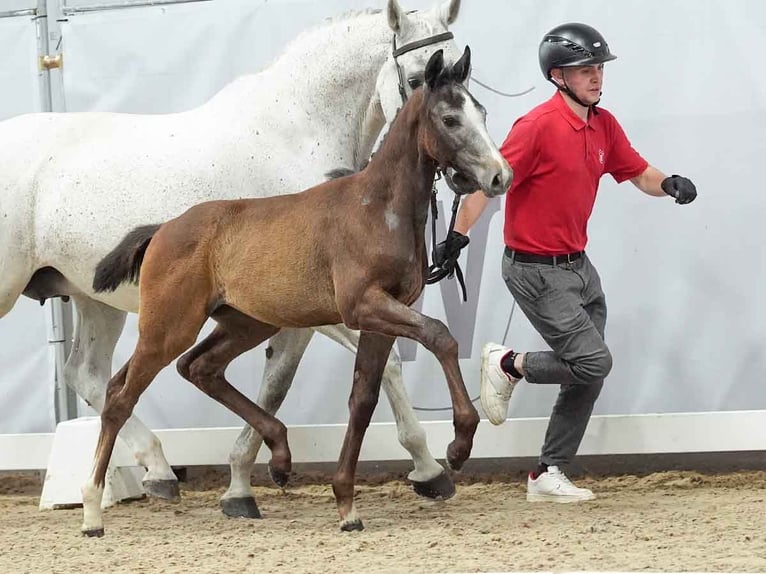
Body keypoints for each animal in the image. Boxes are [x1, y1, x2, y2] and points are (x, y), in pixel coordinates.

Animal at [84, 47, 512, 536]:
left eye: (481, 111)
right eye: (450, 119)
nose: (499, 177)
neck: (377, 209)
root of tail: (163, 229)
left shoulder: (381, 318)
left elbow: (363, 399)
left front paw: (346, 504)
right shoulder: (363, 307)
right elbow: (441, 335)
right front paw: (459, 445)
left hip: (245, 324)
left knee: (198, 368)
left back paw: (279, 456)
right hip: (167, 328)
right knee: (120, 396)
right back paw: (93, 510)